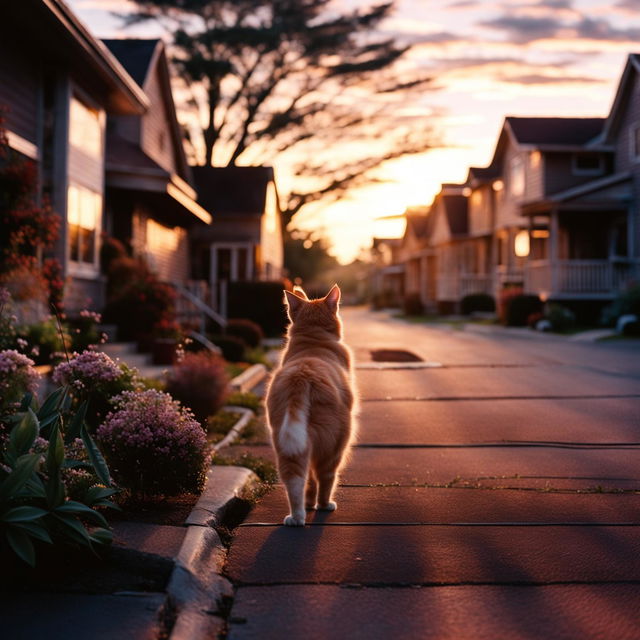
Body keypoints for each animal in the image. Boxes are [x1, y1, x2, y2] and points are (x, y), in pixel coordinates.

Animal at [264, 284, 356, 524]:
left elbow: (309, 482)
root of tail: (302, 376)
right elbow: (320, 479)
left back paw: (298, 515)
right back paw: (324, 505)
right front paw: (318, 505)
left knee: (296, 479)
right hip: (336, 443)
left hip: (287, 443)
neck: (313, 342)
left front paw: (309, 504)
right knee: (325, 476)